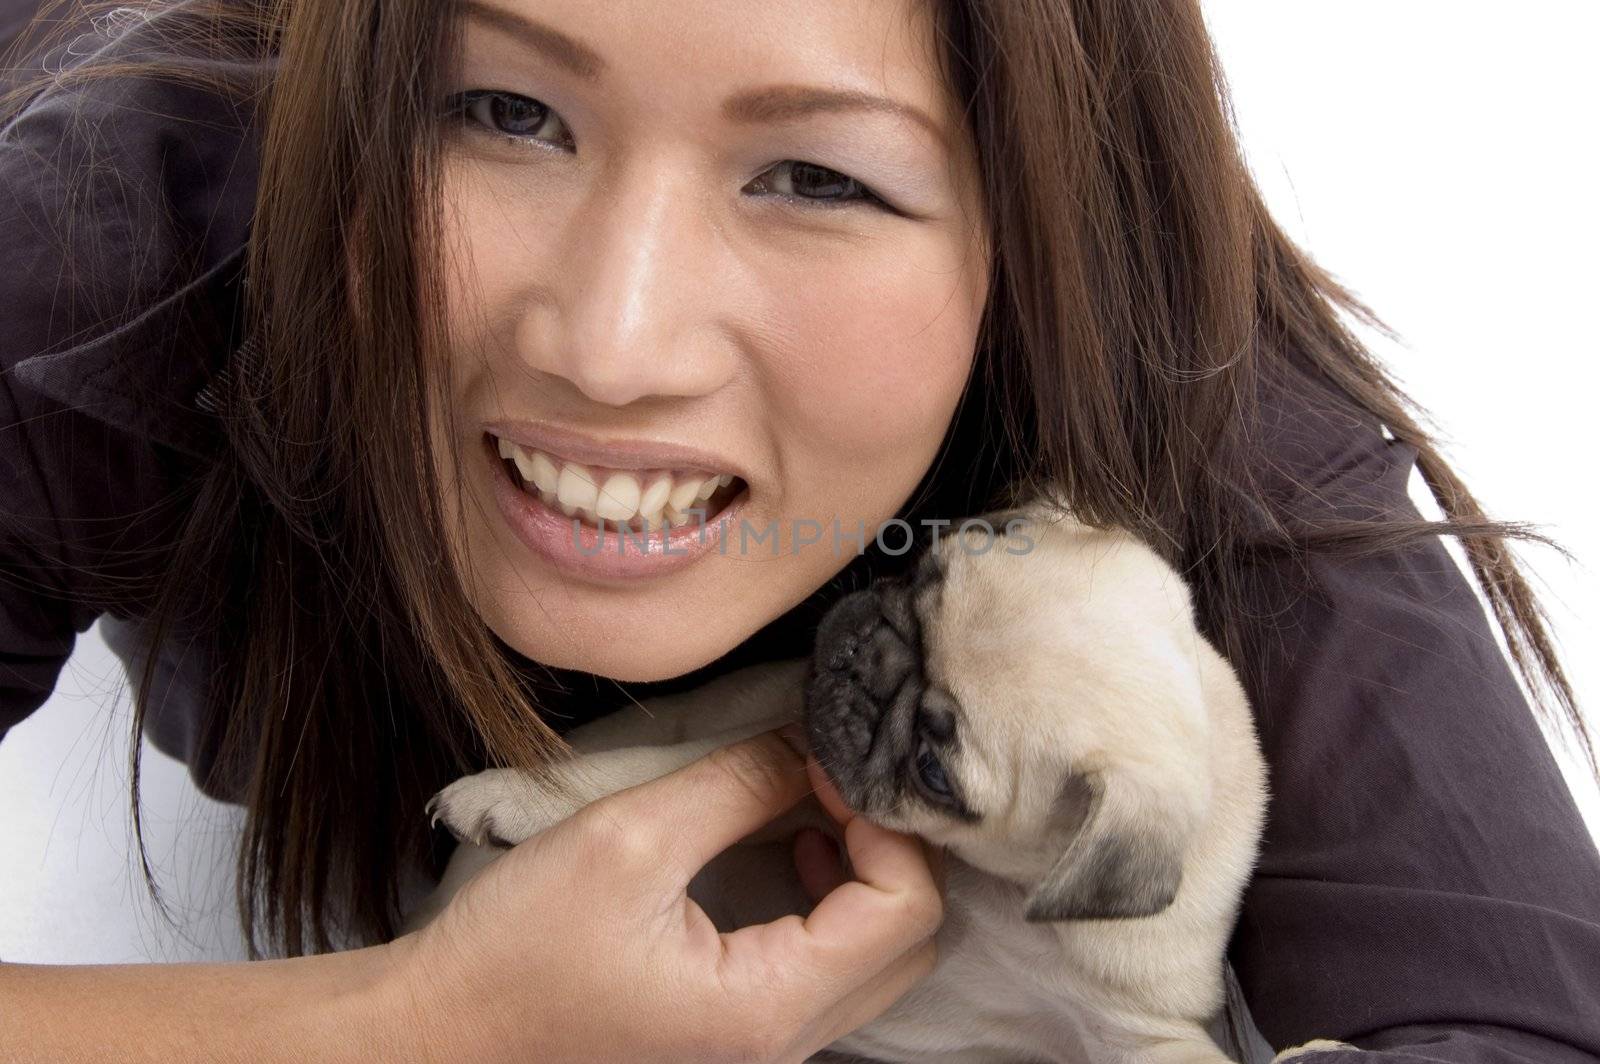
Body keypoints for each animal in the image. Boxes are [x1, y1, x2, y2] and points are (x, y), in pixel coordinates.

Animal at [406, 499, 1356, 1062]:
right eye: (921, 574)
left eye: (936, 772)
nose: (866, 657)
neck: (993, 889)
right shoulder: (790, 757)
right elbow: (653, 772)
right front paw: (526, 795)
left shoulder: (1139, 1032)